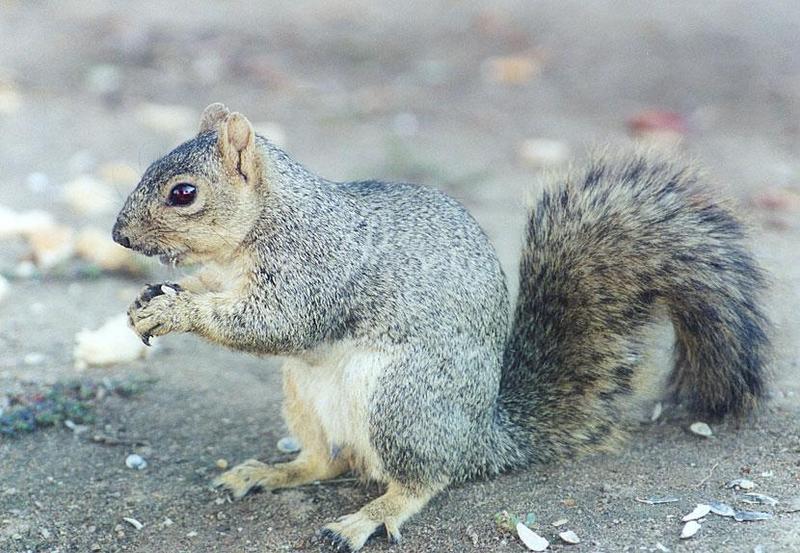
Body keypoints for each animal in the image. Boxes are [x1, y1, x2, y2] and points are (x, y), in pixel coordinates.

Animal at [111, 102, 768, 548]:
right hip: (304, 396)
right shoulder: (226, 275)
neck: (252, 236)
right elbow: (215, 293)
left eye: (183, 193)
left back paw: (367, 518)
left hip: (402, 402)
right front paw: (150, 302)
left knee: (425, 478)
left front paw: (175, 310)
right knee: (328, 461)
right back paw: (271, 472)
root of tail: (483, 437)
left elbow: (277, 323)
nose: (118, 235)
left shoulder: (316, 268)